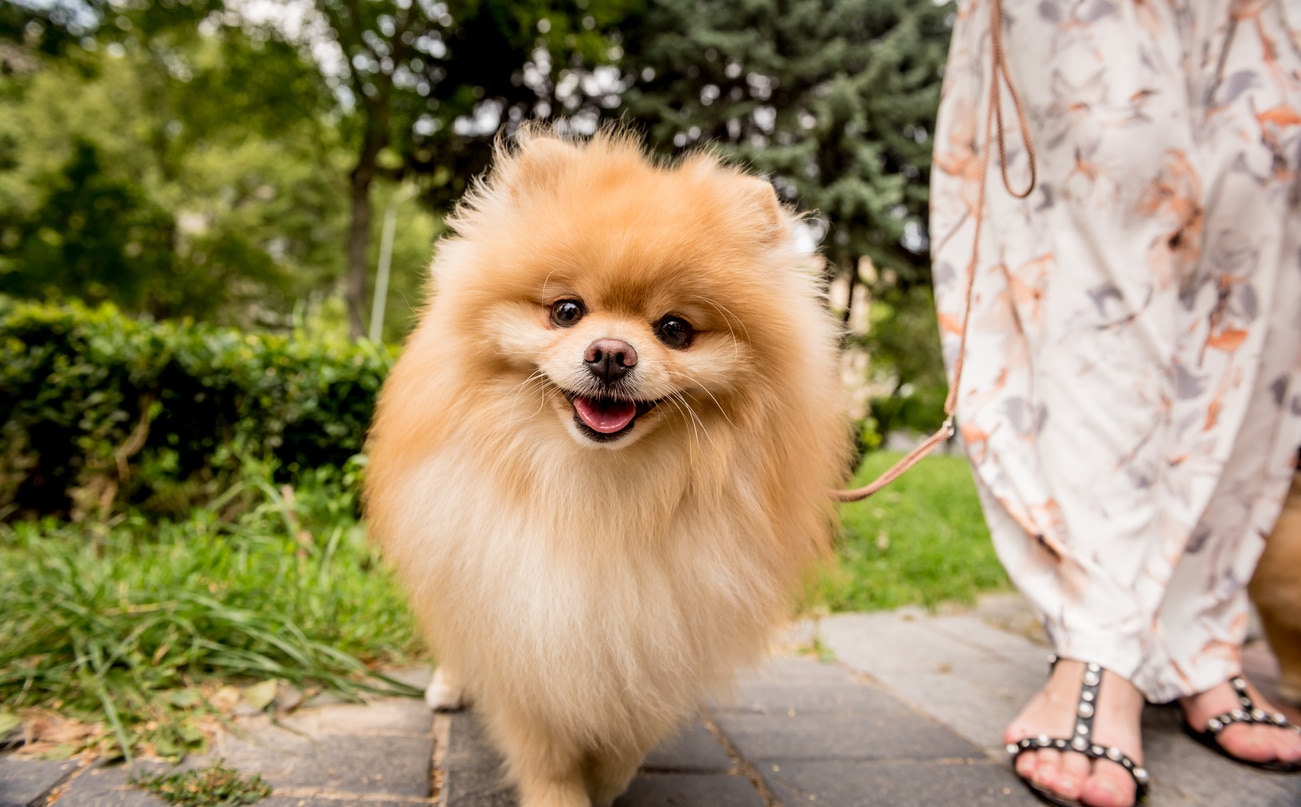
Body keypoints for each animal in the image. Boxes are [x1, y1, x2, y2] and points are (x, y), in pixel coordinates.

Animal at [366, 127, 853, 807]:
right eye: (567, 311)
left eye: (675, 329)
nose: (611, 353)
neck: (602, 490)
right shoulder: (516, 616)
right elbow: (545, 755)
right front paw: (565, 793)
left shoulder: (659, 631)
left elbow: (627, 738)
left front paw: (606, 779)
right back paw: (449, 685)